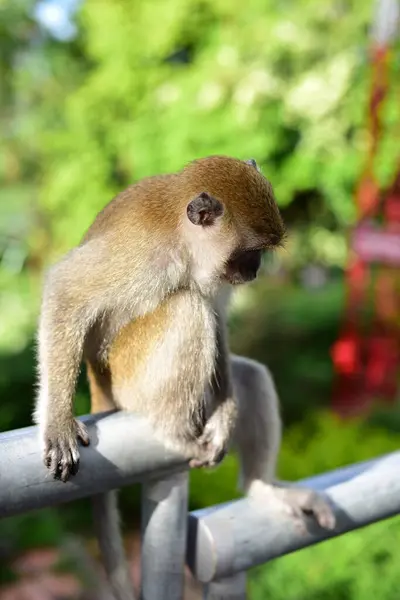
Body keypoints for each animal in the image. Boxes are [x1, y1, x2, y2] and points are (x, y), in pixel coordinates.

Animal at [33, 158, 334, 600]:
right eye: (250, 252)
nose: (256, 271)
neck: (180, 241)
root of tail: (97, 381)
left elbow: (219, 317)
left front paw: (226, 416)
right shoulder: (139, 251)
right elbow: (66, 290)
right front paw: (57, 420)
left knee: (247, 371)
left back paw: (261, 487)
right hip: (130, 379)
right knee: (187, 308)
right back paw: (173, 432)